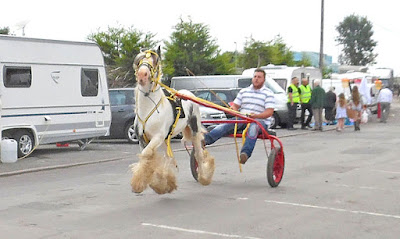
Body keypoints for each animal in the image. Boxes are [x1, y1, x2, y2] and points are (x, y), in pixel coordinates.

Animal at [130, 47, 216, 194]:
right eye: (139, 60)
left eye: (155, 61)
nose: (142, 75)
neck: (150, 108)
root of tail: (189, 94)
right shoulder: (142, 139)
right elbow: (147, 157)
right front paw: (160, 184)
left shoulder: (158, 137)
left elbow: (147, 155)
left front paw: (142, 184)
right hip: (167, 139)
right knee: (168, 157)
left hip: (194, 131)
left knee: (198, 155)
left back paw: (203, 177)